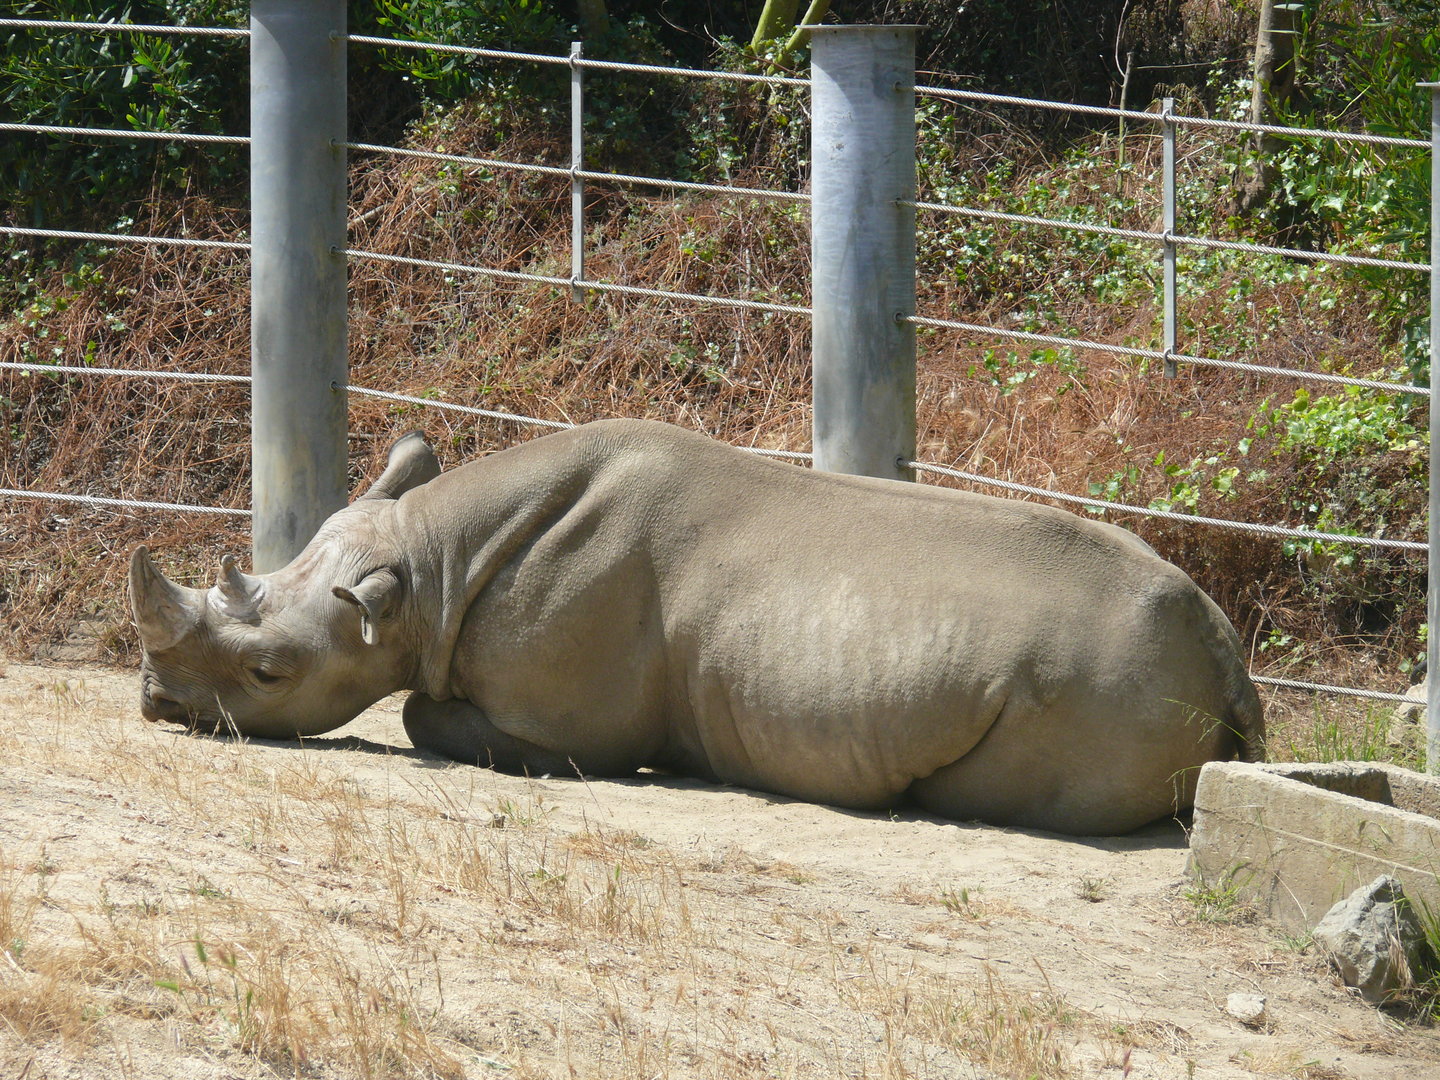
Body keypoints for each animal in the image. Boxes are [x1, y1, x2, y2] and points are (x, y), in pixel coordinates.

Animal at [130, 418, 1263, 835]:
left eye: (270, 675)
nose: (155, 704)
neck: (427, 566)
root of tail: (1225, 650)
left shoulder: (576, 726)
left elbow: (418, 714)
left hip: (1096, 682)